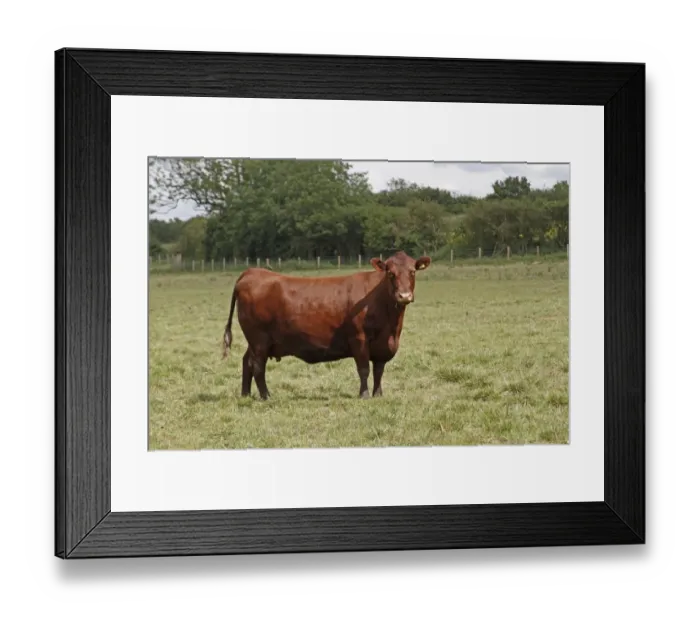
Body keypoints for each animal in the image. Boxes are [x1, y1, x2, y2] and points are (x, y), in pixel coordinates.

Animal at [222, 250, 431, 400]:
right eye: (390, 273)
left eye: (412, 272)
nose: (404, 296)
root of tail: (252, 272)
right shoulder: (359, 338)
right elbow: (364, 369)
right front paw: (364, 395)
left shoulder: (383, 345)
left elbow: (379, 370)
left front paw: (378, 394)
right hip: (259, 340)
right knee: (258, 366)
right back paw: (266, 396)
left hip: (255, 342)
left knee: (247, 362)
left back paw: (246, 395)